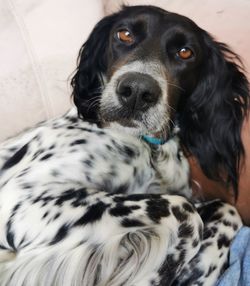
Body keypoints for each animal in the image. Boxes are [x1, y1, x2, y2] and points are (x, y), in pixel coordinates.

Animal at [0, 5, 247, 286]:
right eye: (124, 34)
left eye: (185, 52)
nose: (137, 91)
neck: (147, 149)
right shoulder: (21, 195)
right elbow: (183, 210)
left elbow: (227, 209)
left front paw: (200, 268)